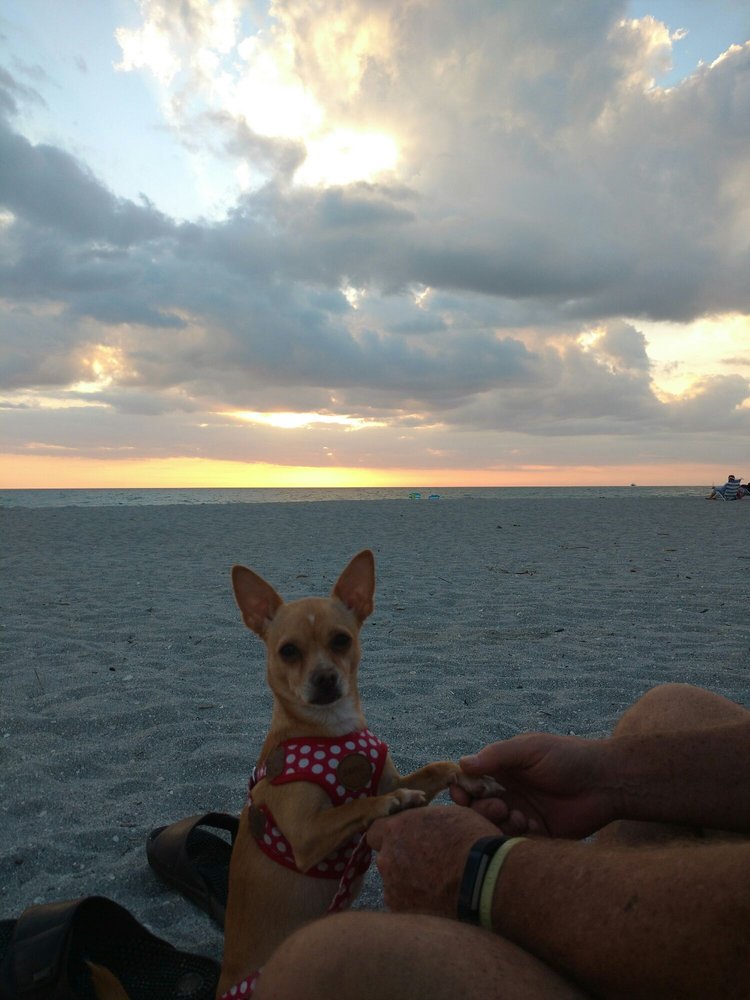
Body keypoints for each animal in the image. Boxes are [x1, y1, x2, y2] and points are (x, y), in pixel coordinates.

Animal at [218, 549, 498, 996]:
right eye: (288, 651)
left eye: (341, 640)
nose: (325, 678)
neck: (333, 730)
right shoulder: (305, 836)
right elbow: (356, 805)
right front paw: (391, 802)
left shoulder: (396, 777)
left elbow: (438, 767)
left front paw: (472, 777)